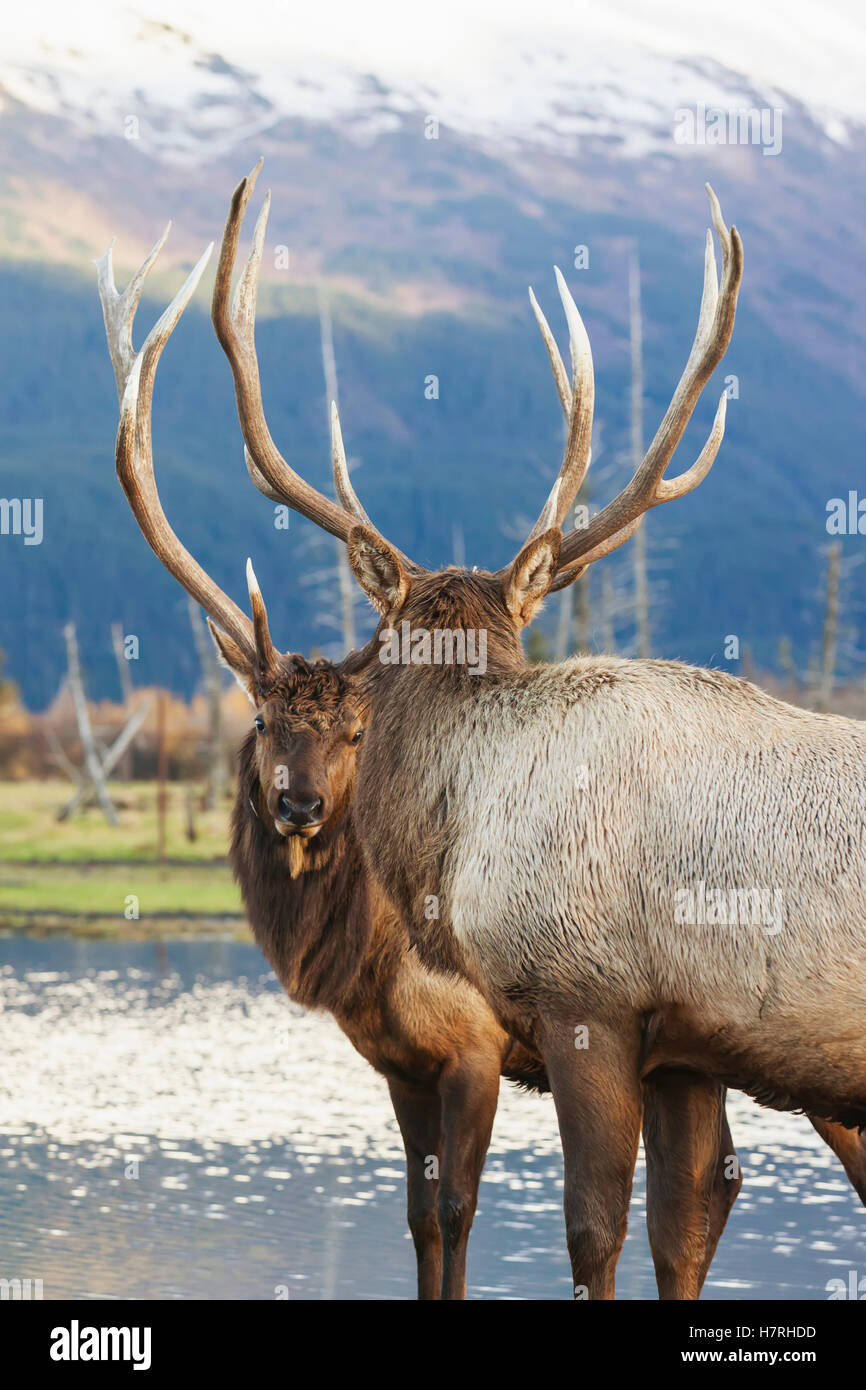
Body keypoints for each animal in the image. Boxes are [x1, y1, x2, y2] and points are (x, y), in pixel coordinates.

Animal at [214, 162, 866, 1300]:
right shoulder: (683, 1049)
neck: (461, 838)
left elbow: (590, 1231)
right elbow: (676, 1235)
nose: (298, 802)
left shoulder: (584, 1003)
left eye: (355, 720)